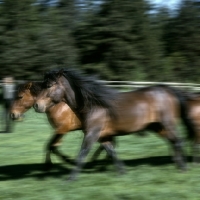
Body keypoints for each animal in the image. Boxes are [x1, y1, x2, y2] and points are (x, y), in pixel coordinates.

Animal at [34, 68, 195, 180]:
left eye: (49, 85)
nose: (37, 105)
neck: (93, 105)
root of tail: (168, 90)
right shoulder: (103, 136)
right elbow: (112, 152)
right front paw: (122, 173)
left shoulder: (92, 134)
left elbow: (82, 154)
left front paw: (70, 179)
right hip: (158, 127)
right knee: (174, 142)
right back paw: (179, 165)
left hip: (167, 124)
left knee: (178, 141)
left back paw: (183, 167)